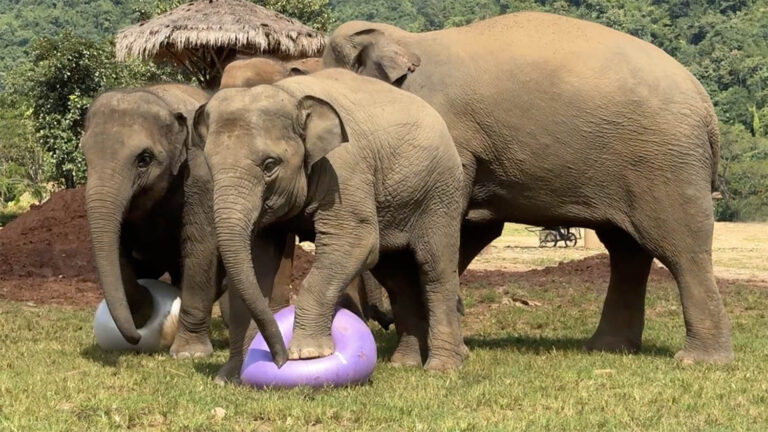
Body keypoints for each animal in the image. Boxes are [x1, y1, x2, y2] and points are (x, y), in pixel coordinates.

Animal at [197, 68, 467, 371]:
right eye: (209, 164)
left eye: (270, 165)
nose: (279, 360)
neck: (290, 95)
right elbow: (259, 258)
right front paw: (232, 374)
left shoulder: (345, 171)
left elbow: (356, 241)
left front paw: (308, 353)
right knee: (397, 278)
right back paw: (403, 364)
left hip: (440, 193)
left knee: (435, 269)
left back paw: (441, 368)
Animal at [323, 12, 733, 364]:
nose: (378, 317)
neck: (406, 40)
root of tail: (706, 106)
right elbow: (476, 227)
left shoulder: (449, 136)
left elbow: (455, 223)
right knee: (626, 250)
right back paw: (606, 348)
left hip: (665, 165)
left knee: (680, 248)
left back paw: (697, 360)